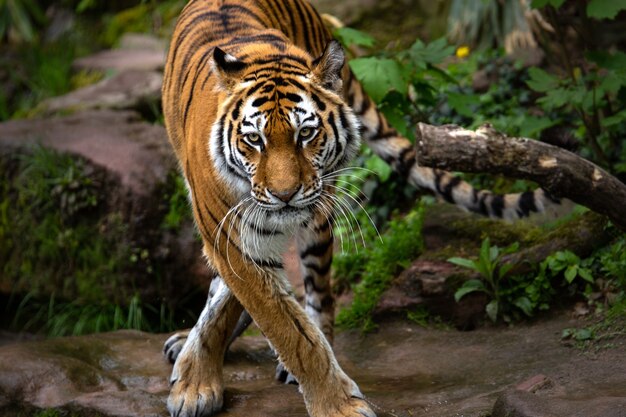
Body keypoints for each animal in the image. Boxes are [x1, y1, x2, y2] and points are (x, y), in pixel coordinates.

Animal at [160, 0, 560, 416]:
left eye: (306, 133)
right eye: (254, 140)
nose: (285, 195)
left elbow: (286, 328)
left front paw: (336, 405)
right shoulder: (231, 238)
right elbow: (276, 324)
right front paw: (196, 381)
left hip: (320, 218)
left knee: (320, 294)